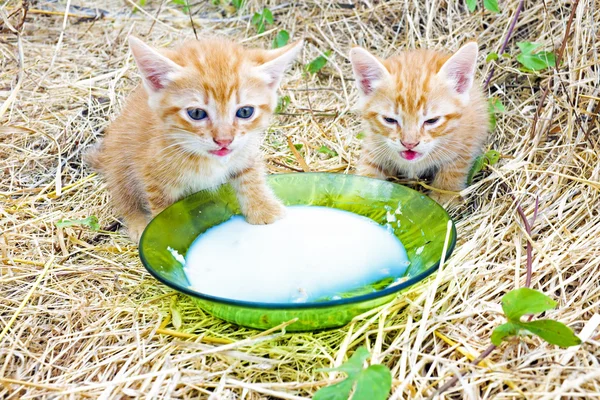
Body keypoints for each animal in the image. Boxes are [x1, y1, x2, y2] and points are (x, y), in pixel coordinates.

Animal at [86, 36, 302, 241]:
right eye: (197, 113)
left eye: (245, 112)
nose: (224, 140)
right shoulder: (153, 177)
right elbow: (165, 213)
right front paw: (166, 238)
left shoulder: (245, 148)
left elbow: (250, 174)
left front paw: (264, 209)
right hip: (120, 166)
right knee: (124, 197)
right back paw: (138, 222)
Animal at [352, 43, 488, 205]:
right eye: (390, 120)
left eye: (432, 121)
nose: (409, 144)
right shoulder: (373, 145)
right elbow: (367, 171)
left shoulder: (467, 140)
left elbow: (454, 168)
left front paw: (444, 194)